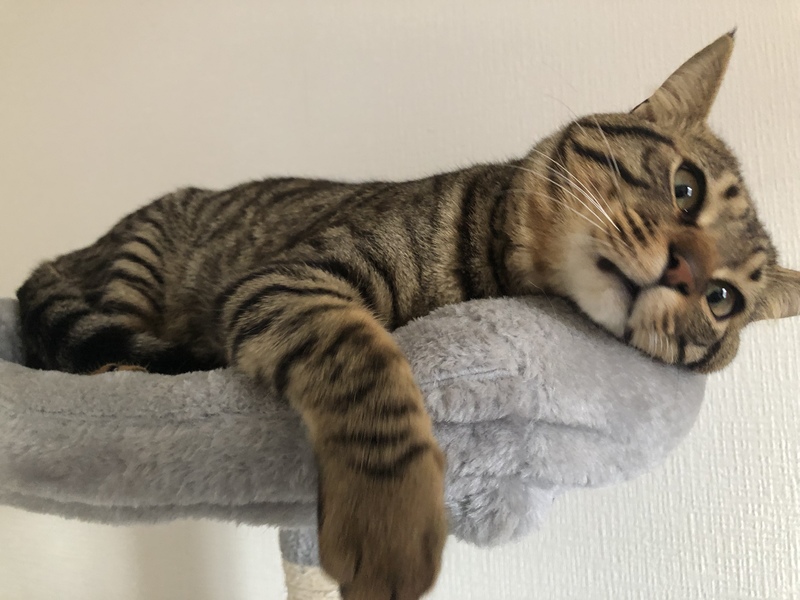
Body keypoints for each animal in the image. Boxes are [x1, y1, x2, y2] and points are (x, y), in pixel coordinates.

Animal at [15, 32, 800, 600]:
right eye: (687, 187)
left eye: (723, 300)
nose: (685, 271)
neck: (493, 268)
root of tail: (80, 248)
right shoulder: (289, 280)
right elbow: (369, 370)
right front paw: (390, 529)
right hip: (136, 264)